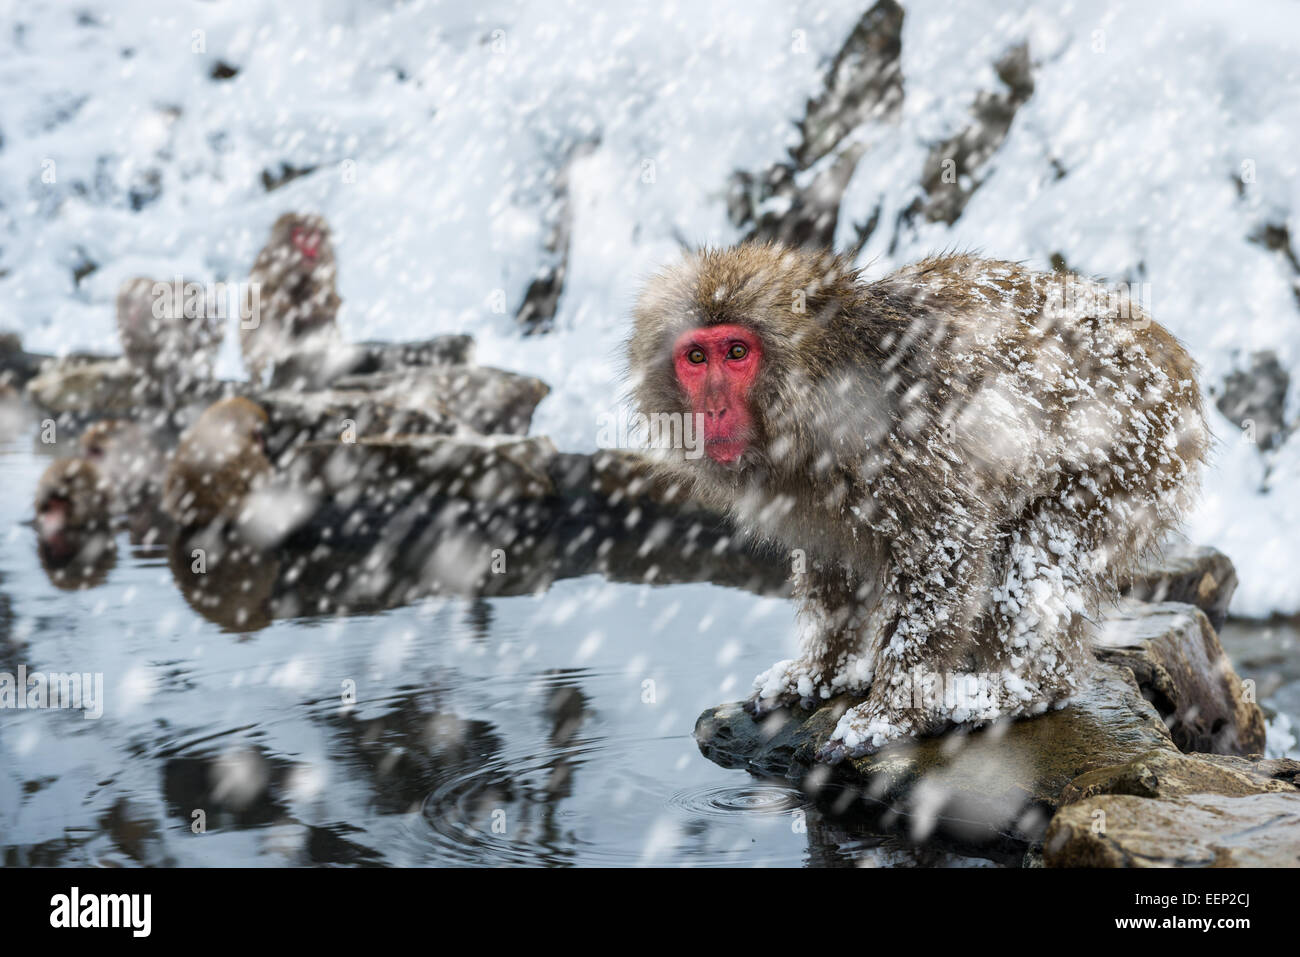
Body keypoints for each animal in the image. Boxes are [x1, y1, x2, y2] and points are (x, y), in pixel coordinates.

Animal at [239, 213, 340, 384]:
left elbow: (328, 303)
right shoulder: (268, 266)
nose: (310, 251)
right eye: (300, 235)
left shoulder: (327, 264)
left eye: (314, 236)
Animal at [629, 244, 1206, 764]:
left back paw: (1014, 691)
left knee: (1039, 558)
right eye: (696, 357)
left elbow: (944, 545)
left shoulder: (896, 437)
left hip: (1128, 461)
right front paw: (820, 674)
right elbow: (830, 566)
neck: (817, 381)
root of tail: (1176, 362)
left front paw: (890, 713)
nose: (713, 409)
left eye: (736, 352)